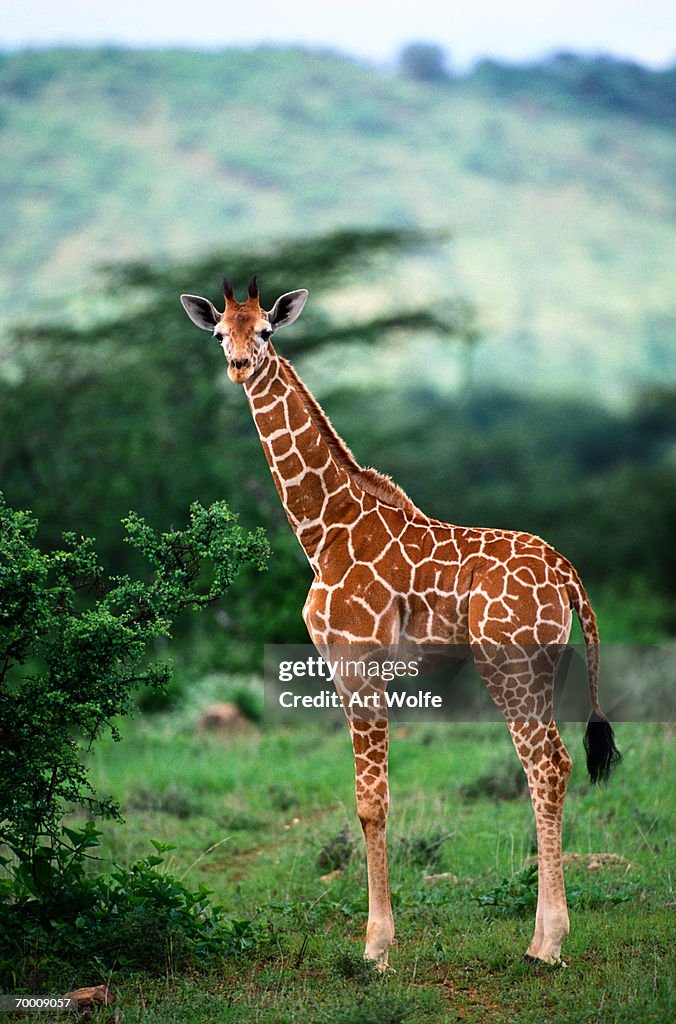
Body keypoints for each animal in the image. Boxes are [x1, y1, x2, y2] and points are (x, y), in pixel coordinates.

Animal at [178, 276, 618, 970]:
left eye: (267, 331)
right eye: (221, 332)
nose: (240, 366)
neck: (324, 531)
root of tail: (569, 577)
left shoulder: (360, 659)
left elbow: (370, 801)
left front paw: (376, 947)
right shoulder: (339, 666)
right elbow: (372, 796)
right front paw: (379, 939)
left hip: (509, 662)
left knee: (546, 765)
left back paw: (547, 943)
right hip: (536, 664)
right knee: (553, 763)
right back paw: (541, 938)